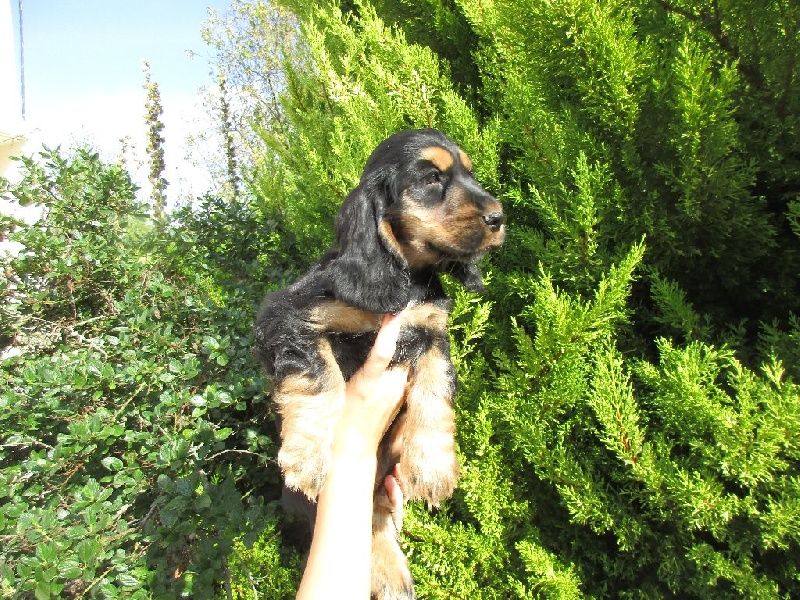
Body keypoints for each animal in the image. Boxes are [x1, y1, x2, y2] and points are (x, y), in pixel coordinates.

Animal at [253, 128, 505, 599]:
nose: (499, 217)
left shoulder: (431, 332)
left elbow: (435, 394)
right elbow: (320, 377)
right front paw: (308, 455)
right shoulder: (288, 316)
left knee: (373, 513)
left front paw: (433, 467)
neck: (403, 279)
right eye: (431, 177)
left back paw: (391, 575)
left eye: (470, 174)